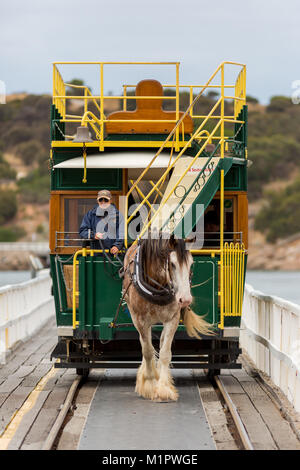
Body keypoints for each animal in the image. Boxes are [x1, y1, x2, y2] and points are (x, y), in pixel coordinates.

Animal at [123, 233, 212, 402]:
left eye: (191, 264)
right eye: (172, 264)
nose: (185, 299)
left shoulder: (172, 319)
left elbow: (165, 352)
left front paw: (163, 387)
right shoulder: (141, 320)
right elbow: (147, 351)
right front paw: (150, 384)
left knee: (162, 341)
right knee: (145, 343)